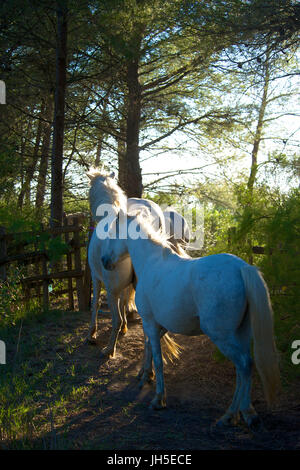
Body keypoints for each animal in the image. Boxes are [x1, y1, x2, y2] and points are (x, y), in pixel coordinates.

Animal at [101, 210, 282, 430]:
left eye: (112, 234)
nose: (104, 261)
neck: (151, 263)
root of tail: (242, 268)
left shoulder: (150, 323)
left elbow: (158, 358)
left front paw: (158, 399)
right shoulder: (160, 326)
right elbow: (149, 348)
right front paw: (145, 376)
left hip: (222, 336)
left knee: (245, 365)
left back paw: (234, 414)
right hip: (241, 333)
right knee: (243, 370)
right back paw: (240, 413)